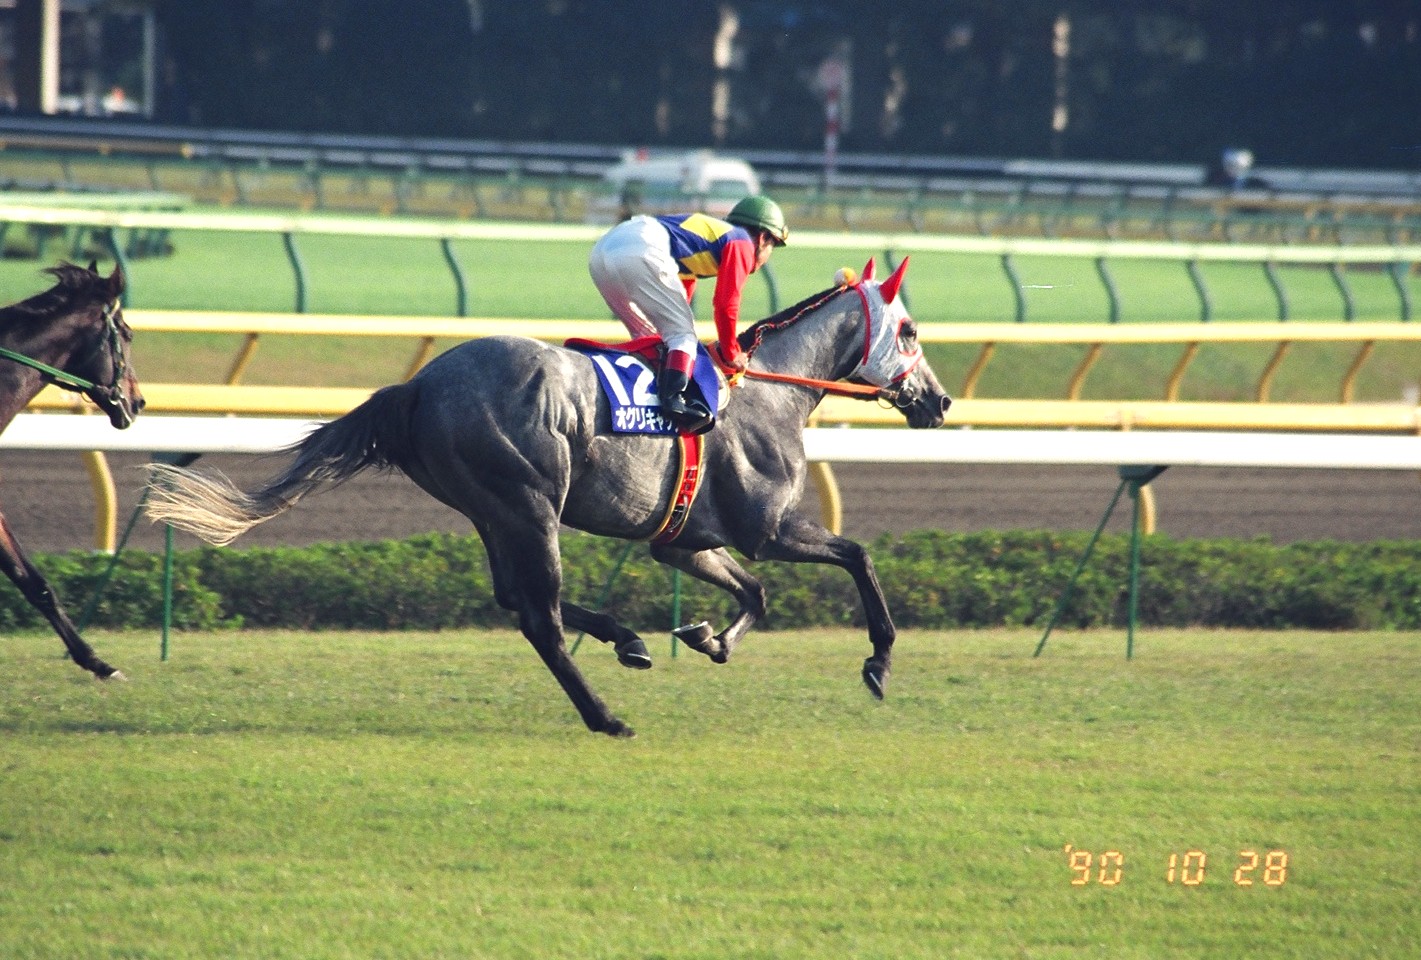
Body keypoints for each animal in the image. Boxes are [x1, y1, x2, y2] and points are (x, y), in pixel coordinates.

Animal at [145, 257, 950, 736]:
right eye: (909, 330)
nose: (938, 401)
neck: (769, 392)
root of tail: (419, 385)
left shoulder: (686, 541)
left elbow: (752, 594)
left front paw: (707, 637)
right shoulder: (767, 528)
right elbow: (857, 556)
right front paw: (877, 664)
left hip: (491, 509)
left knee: (519, 600)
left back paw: (625, 640)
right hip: (530, 501)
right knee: (539, 615)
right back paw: (604, 714)